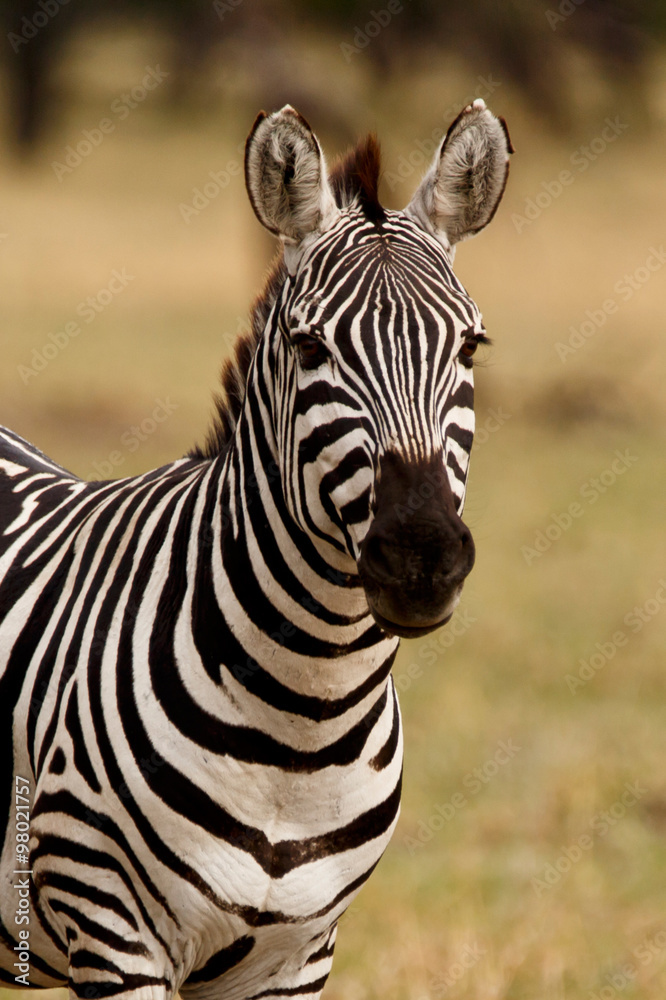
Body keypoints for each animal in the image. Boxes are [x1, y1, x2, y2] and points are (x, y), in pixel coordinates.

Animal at [0, 100, 511, 1000]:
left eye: (469, 348)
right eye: (311, 350)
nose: (421, 558)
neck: (299, 729)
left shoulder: (299, 955)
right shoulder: (108, 924)